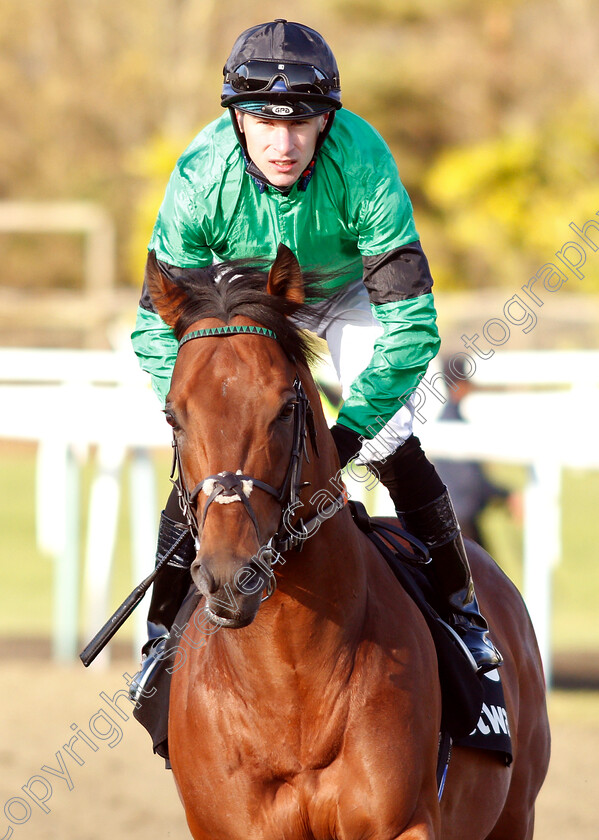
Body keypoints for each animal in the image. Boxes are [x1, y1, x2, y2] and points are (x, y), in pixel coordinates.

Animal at [144, 246, 548, 840]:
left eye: (285, 409)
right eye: (173, 414)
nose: (229, 578)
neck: (290, 688)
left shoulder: (403, 823)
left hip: (516, 813)